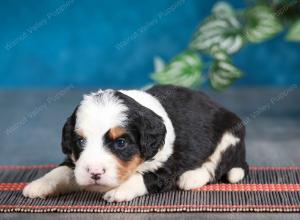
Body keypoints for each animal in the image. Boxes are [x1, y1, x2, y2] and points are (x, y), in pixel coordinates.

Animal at [22, 85, 248, 202]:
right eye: (80, 141)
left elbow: (143, 177)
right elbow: (61, 171)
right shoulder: (75, 162)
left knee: (214, 165)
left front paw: (118, 191)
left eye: (121, 143)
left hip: (229, 135)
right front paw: (38, 185)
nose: (94, 173)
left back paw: (191, 177)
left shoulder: (167, 167)